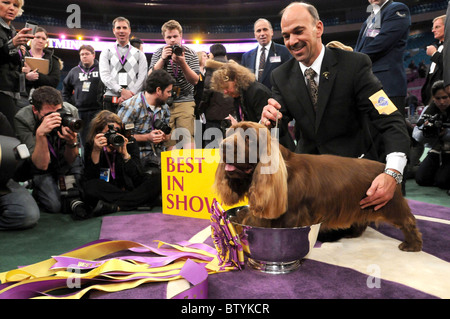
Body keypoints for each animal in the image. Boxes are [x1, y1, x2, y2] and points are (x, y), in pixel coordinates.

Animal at [214, 122, 422, 252]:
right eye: (229, 133)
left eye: (248, 137)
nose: (222, 146)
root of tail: (384, 168)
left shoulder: (291, 214)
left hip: (390, 203)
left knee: (408, 221)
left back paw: (412, 244)